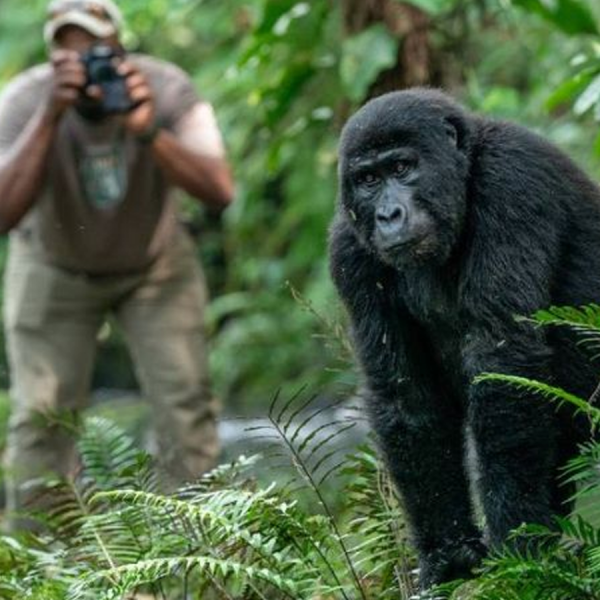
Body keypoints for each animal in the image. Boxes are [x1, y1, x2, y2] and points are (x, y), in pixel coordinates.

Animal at [328, 88, 600, 584]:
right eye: (368, 179)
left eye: (402, 167)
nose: (388, 214)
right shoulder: (348, 248)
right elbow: (407, 396)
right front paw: (448, 552)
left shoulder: (512, 180)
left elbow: (504, 360)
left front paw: (516, 541)